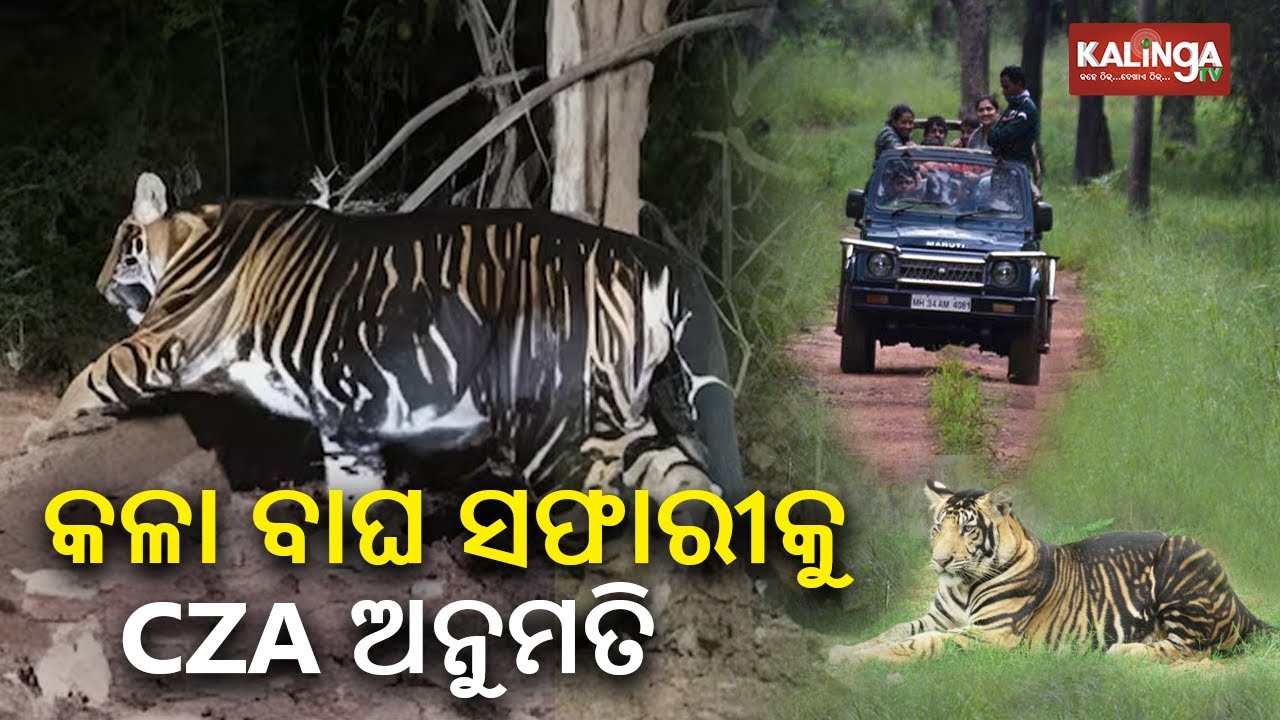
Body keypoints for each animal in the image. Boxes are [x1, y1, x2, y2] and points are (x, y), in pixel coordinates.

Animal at [26, 172, 745, 511]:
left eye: (121, 243)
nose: (97, 284)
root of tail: (649, 255)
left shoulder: (160, 338)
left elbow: (89, 376)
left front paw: (42, 429)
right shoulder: (345, 416)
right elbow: (351, 482)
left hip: (563, 423)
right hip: (625, 414)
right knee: (688, 485)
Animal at [828, 479, 1273, 665]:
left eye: (968, 529)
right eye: (939, 527)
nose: (939, 562)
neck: (964, 584)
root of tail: (1235, 598)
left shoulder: (992, 633)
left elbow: (917, 644)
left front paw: (853, 661)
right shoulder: (938, 617)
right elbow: (894, 630)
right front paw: (843, 649)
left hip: (1179, 556)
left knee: (1194, 647)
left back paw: (1124, 651)